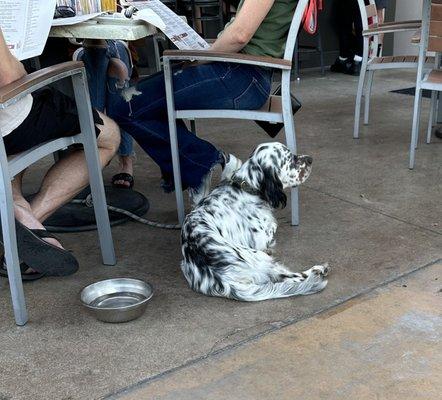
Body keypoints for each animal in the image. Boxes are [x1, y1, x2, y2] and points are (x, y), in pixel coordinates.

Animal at [180, 142, 328, 302]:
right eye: (289, 159)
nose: (310, 159)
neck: (246, 188)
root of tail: (219, 279)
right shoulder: (262, 240)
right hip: (261, 258)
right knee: (293, 277)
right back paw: (318, 270)